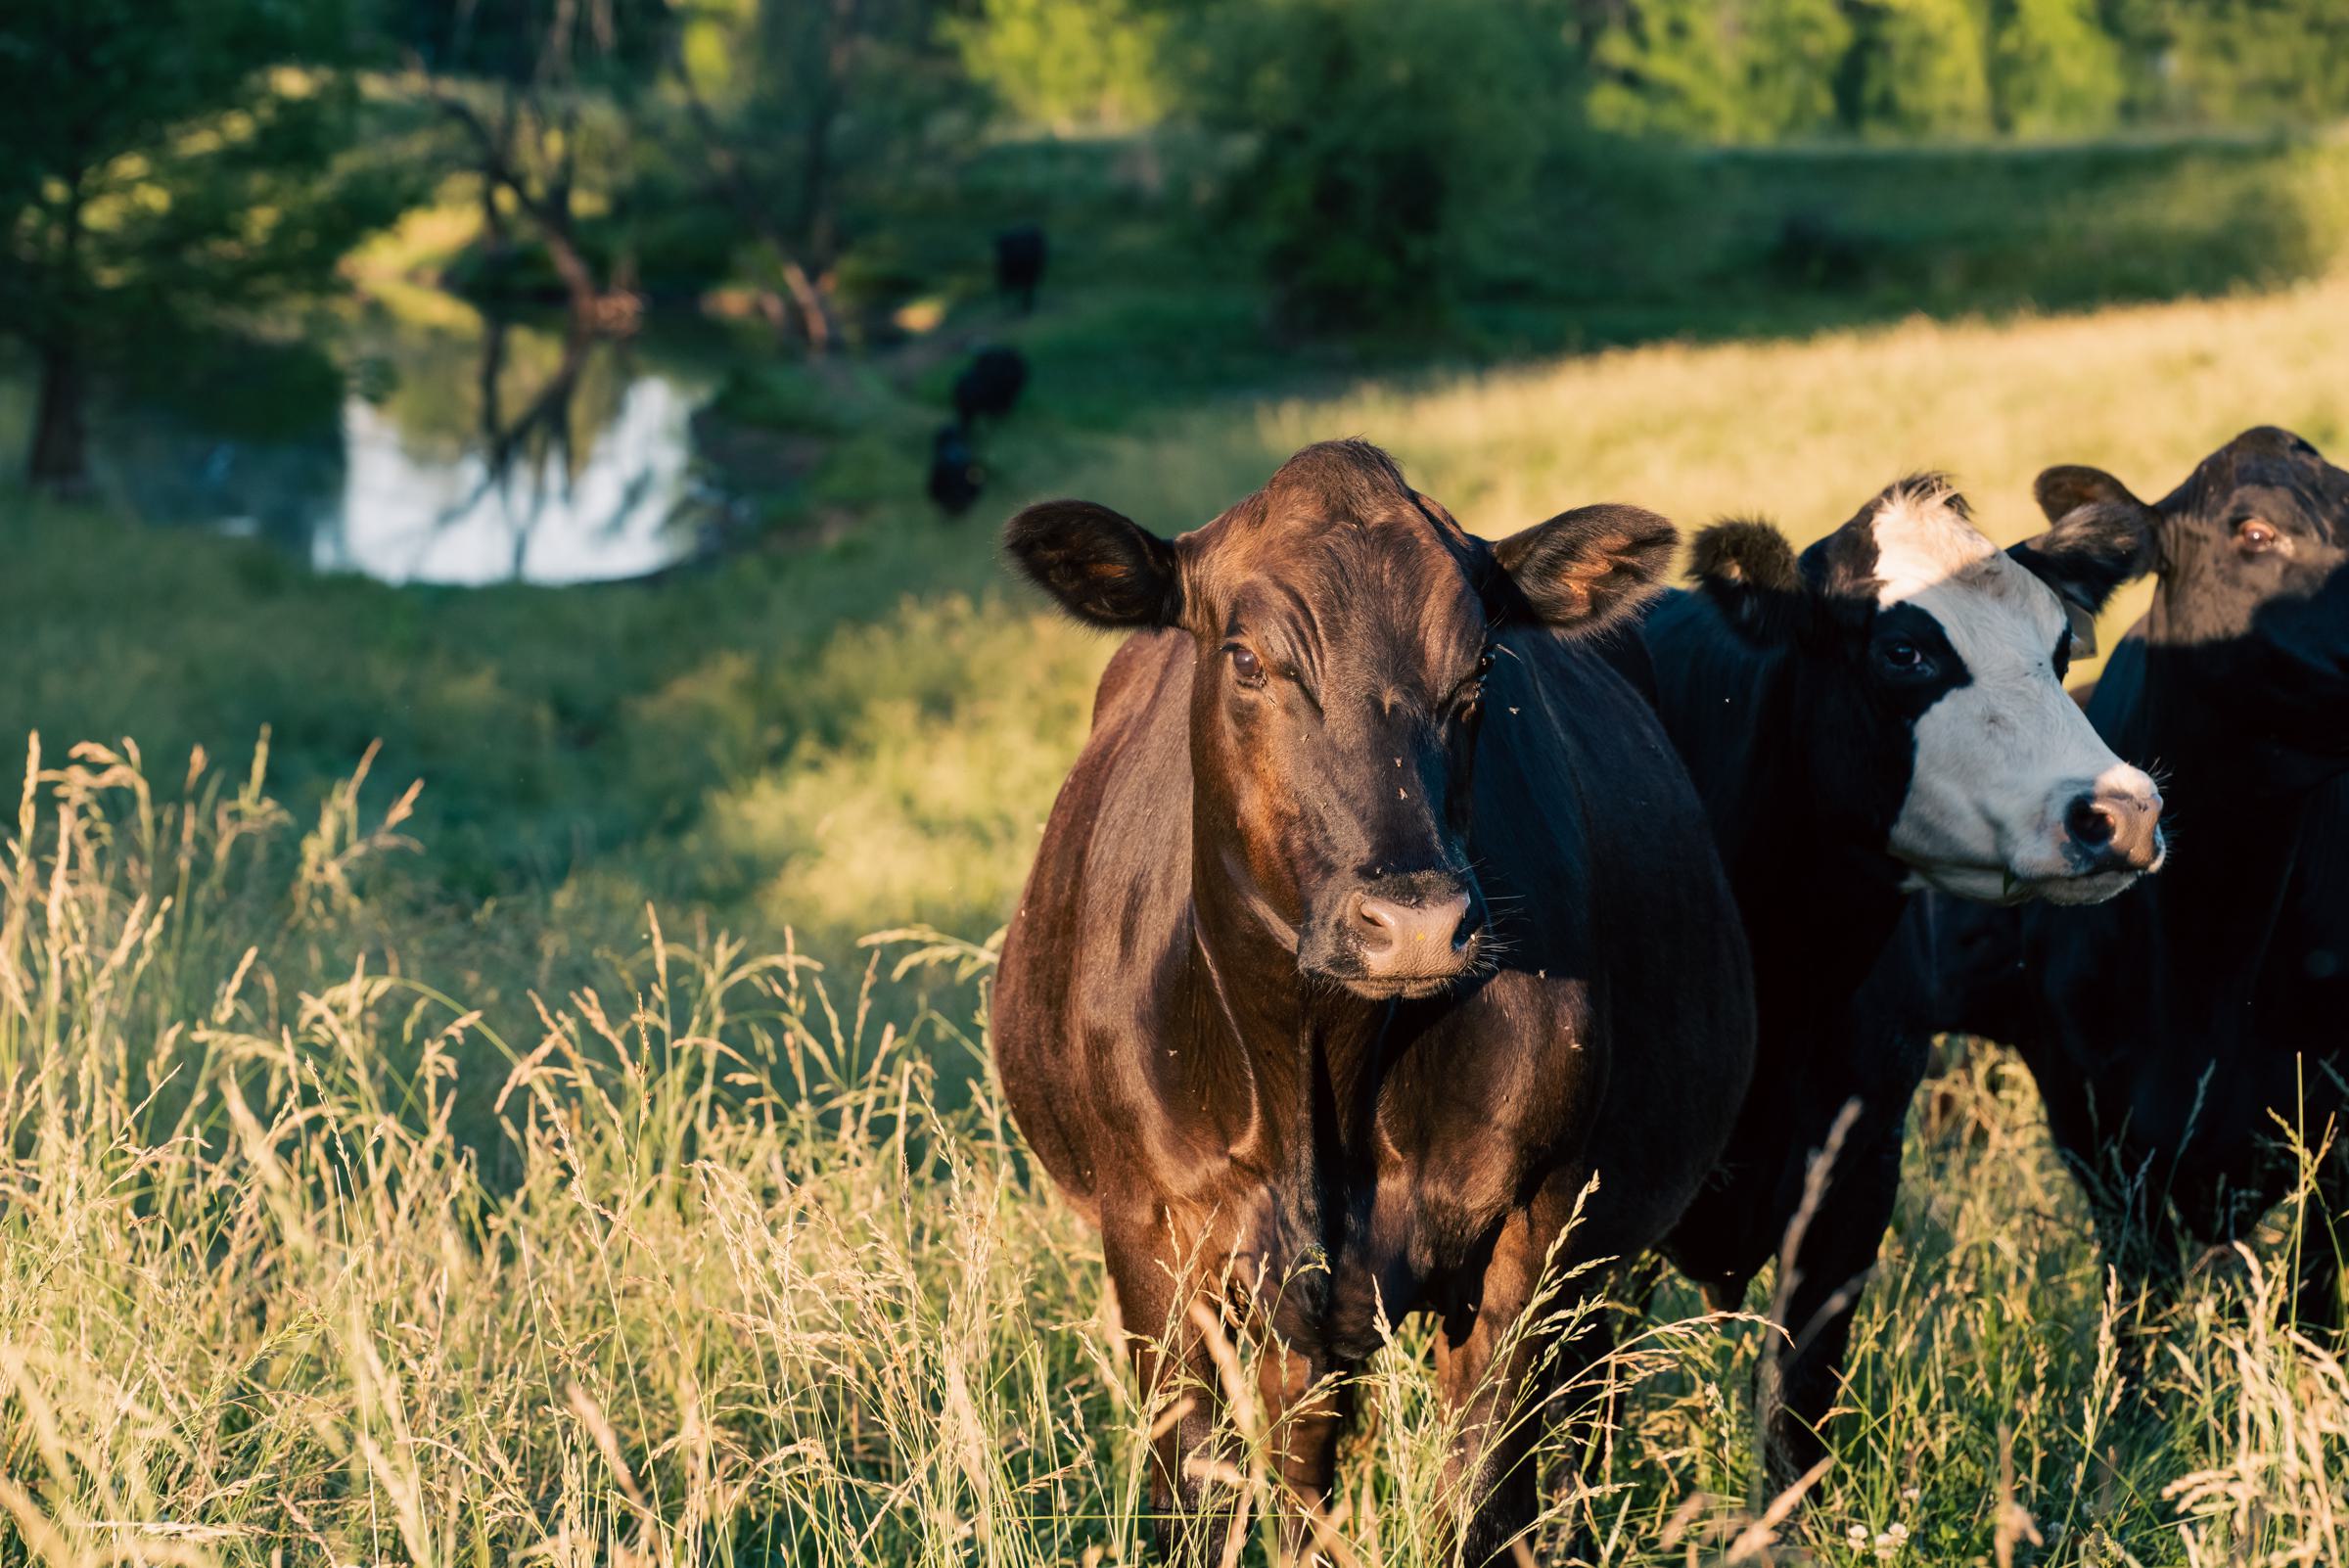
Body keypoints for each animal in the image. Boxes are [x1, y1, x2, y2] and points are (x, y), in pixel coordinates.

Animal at [992, 440, 1757, 1562]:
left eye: (1480, 670)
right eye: (1248, 660)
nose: (1418, 921)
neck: (1319, 1073)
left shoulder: (1531, 1230)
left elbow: (1483, 1501)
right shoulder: (1150, 1245)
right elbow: (1195, 1500)